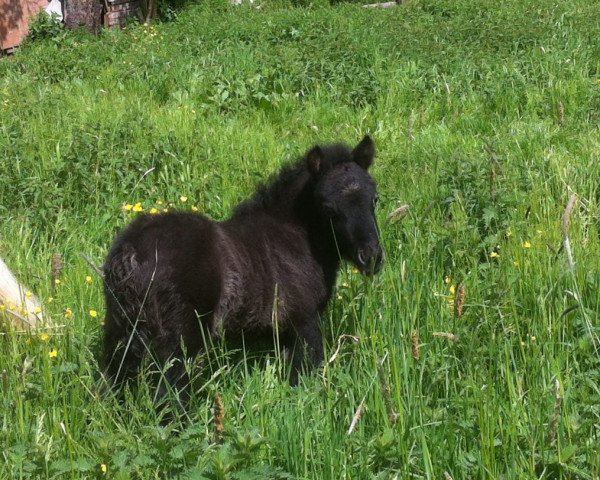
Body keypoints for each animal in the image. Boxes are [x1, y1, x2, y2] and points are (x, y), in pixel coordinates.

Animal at [103, 137, 384, 404]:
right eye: (328, 208)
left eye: (375, 199)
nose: (371, 257)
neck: (296, 234)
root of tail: (131, 252)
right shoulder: (305, 320)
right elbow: (302, 375)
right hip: (178, 342)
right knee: (168, 396)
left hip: (120, 331)